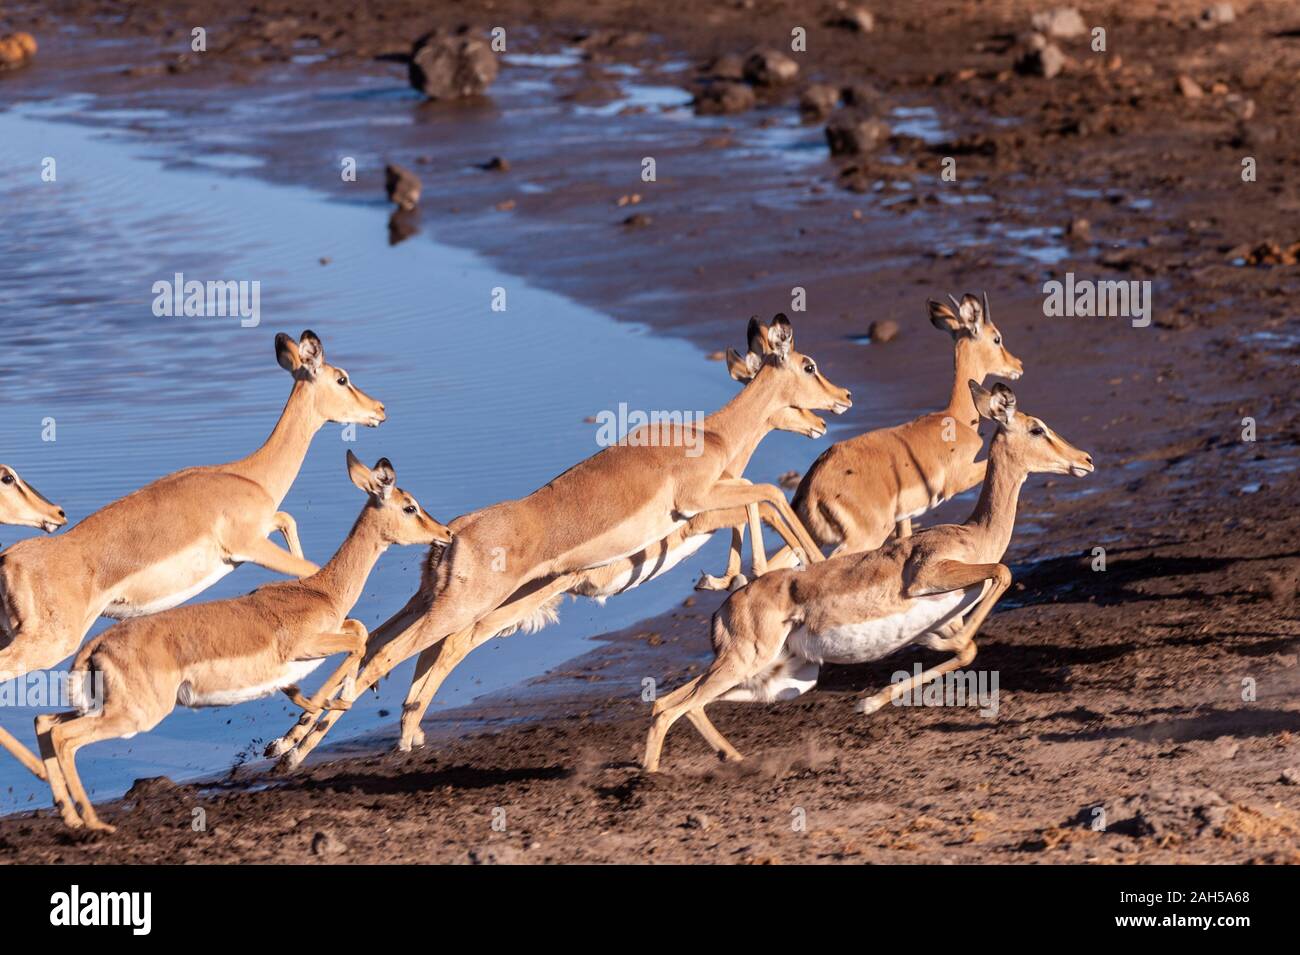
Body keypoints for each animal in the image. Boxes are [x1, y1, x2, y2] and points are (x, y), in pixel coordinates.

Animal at [0, 332, 382, 779]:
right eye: (342, 378)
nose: (379, 409)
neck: (249, 475)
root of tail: (9, 560)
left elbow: (289, 524)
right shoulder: (250, 547)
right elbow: (317, 577)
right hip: (49, 645)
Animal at [38, 452, 452, 831]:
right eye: (409, 506)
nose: (445, 532)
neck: (321, 591)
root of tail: (95, 647)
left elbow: (358, 634)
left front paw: (295, 728)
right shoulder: (303, 648)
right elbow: (357, 642)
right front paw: (304, 725)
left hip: (101, 706)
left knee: (45, 722)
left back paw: (73, 819)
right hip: (135, 714)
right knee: (64, 736)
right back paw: (94, 824)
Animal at [644, 379, 1092, 769]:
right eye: (1037, 428)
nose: (1085, 459)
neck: (974, 534)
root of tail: (724, 608)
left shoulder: (941, 622)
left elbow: (967, 649)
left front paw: (869, 702)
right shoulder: (928, 576)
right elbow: (1000, 574)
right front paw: (873, 697)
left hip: (782, 676)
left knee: (671, 703)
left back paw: (730, 759)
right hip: (747, 663)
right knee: (677, 707)